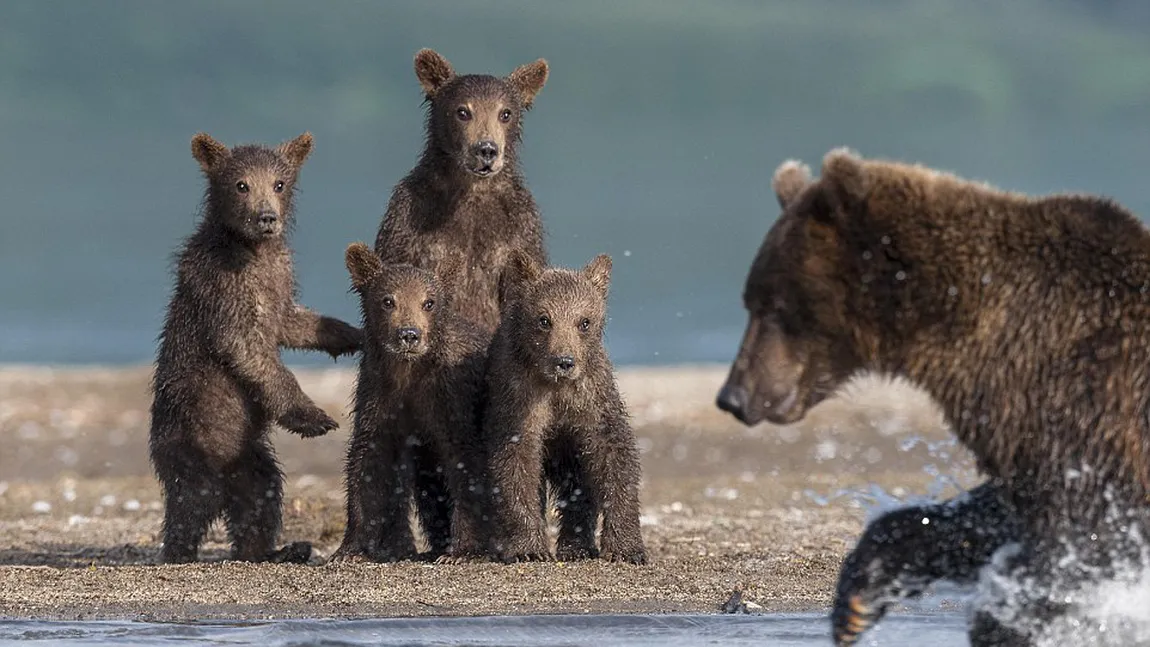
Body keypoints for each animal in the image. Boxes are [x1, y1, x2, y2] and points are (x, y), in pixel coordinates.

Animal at [717, 148, 1150, 647]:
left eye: (773, 304)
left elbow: (1083, 536)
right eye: (750, 299)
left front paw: (1008, 622)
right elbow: (989, 512)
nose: (733, 396)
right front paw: (857, 600)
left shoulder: (1085, 400)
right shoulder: (1027, 427)